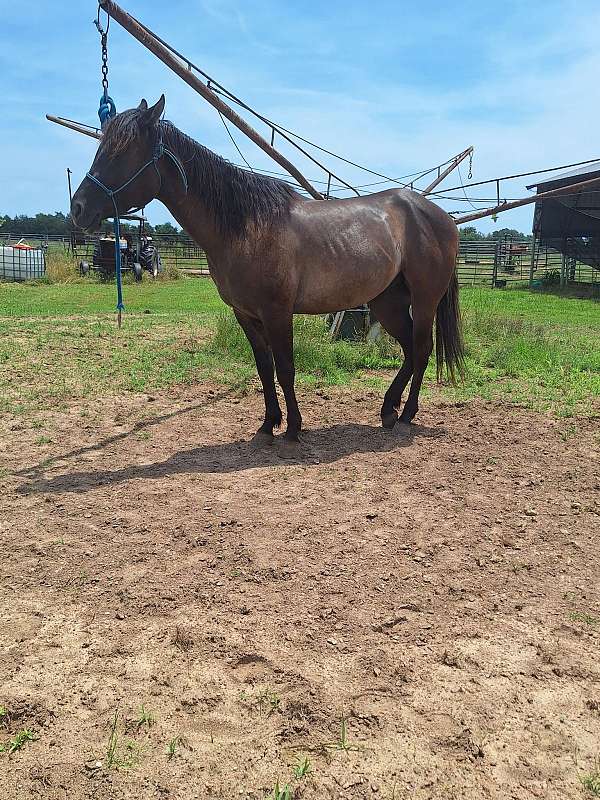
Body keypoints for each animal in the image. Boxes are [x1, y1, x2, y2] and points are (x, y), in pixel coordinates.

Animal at [71, 96, 464, 456]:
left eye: (122, 152)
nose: (78, 208)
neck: (246, 227)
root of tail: (441, 217)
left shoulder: (277, 312)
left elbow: (286, 368)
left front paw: (292, 429)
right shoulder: (246, 314)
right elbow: (264, 368)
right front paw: (267, 425)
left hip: (423, 300)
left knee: (422, 349)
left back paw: (406, 415)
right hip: (387, 302)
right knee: (410, 350)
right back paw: (388, 410)